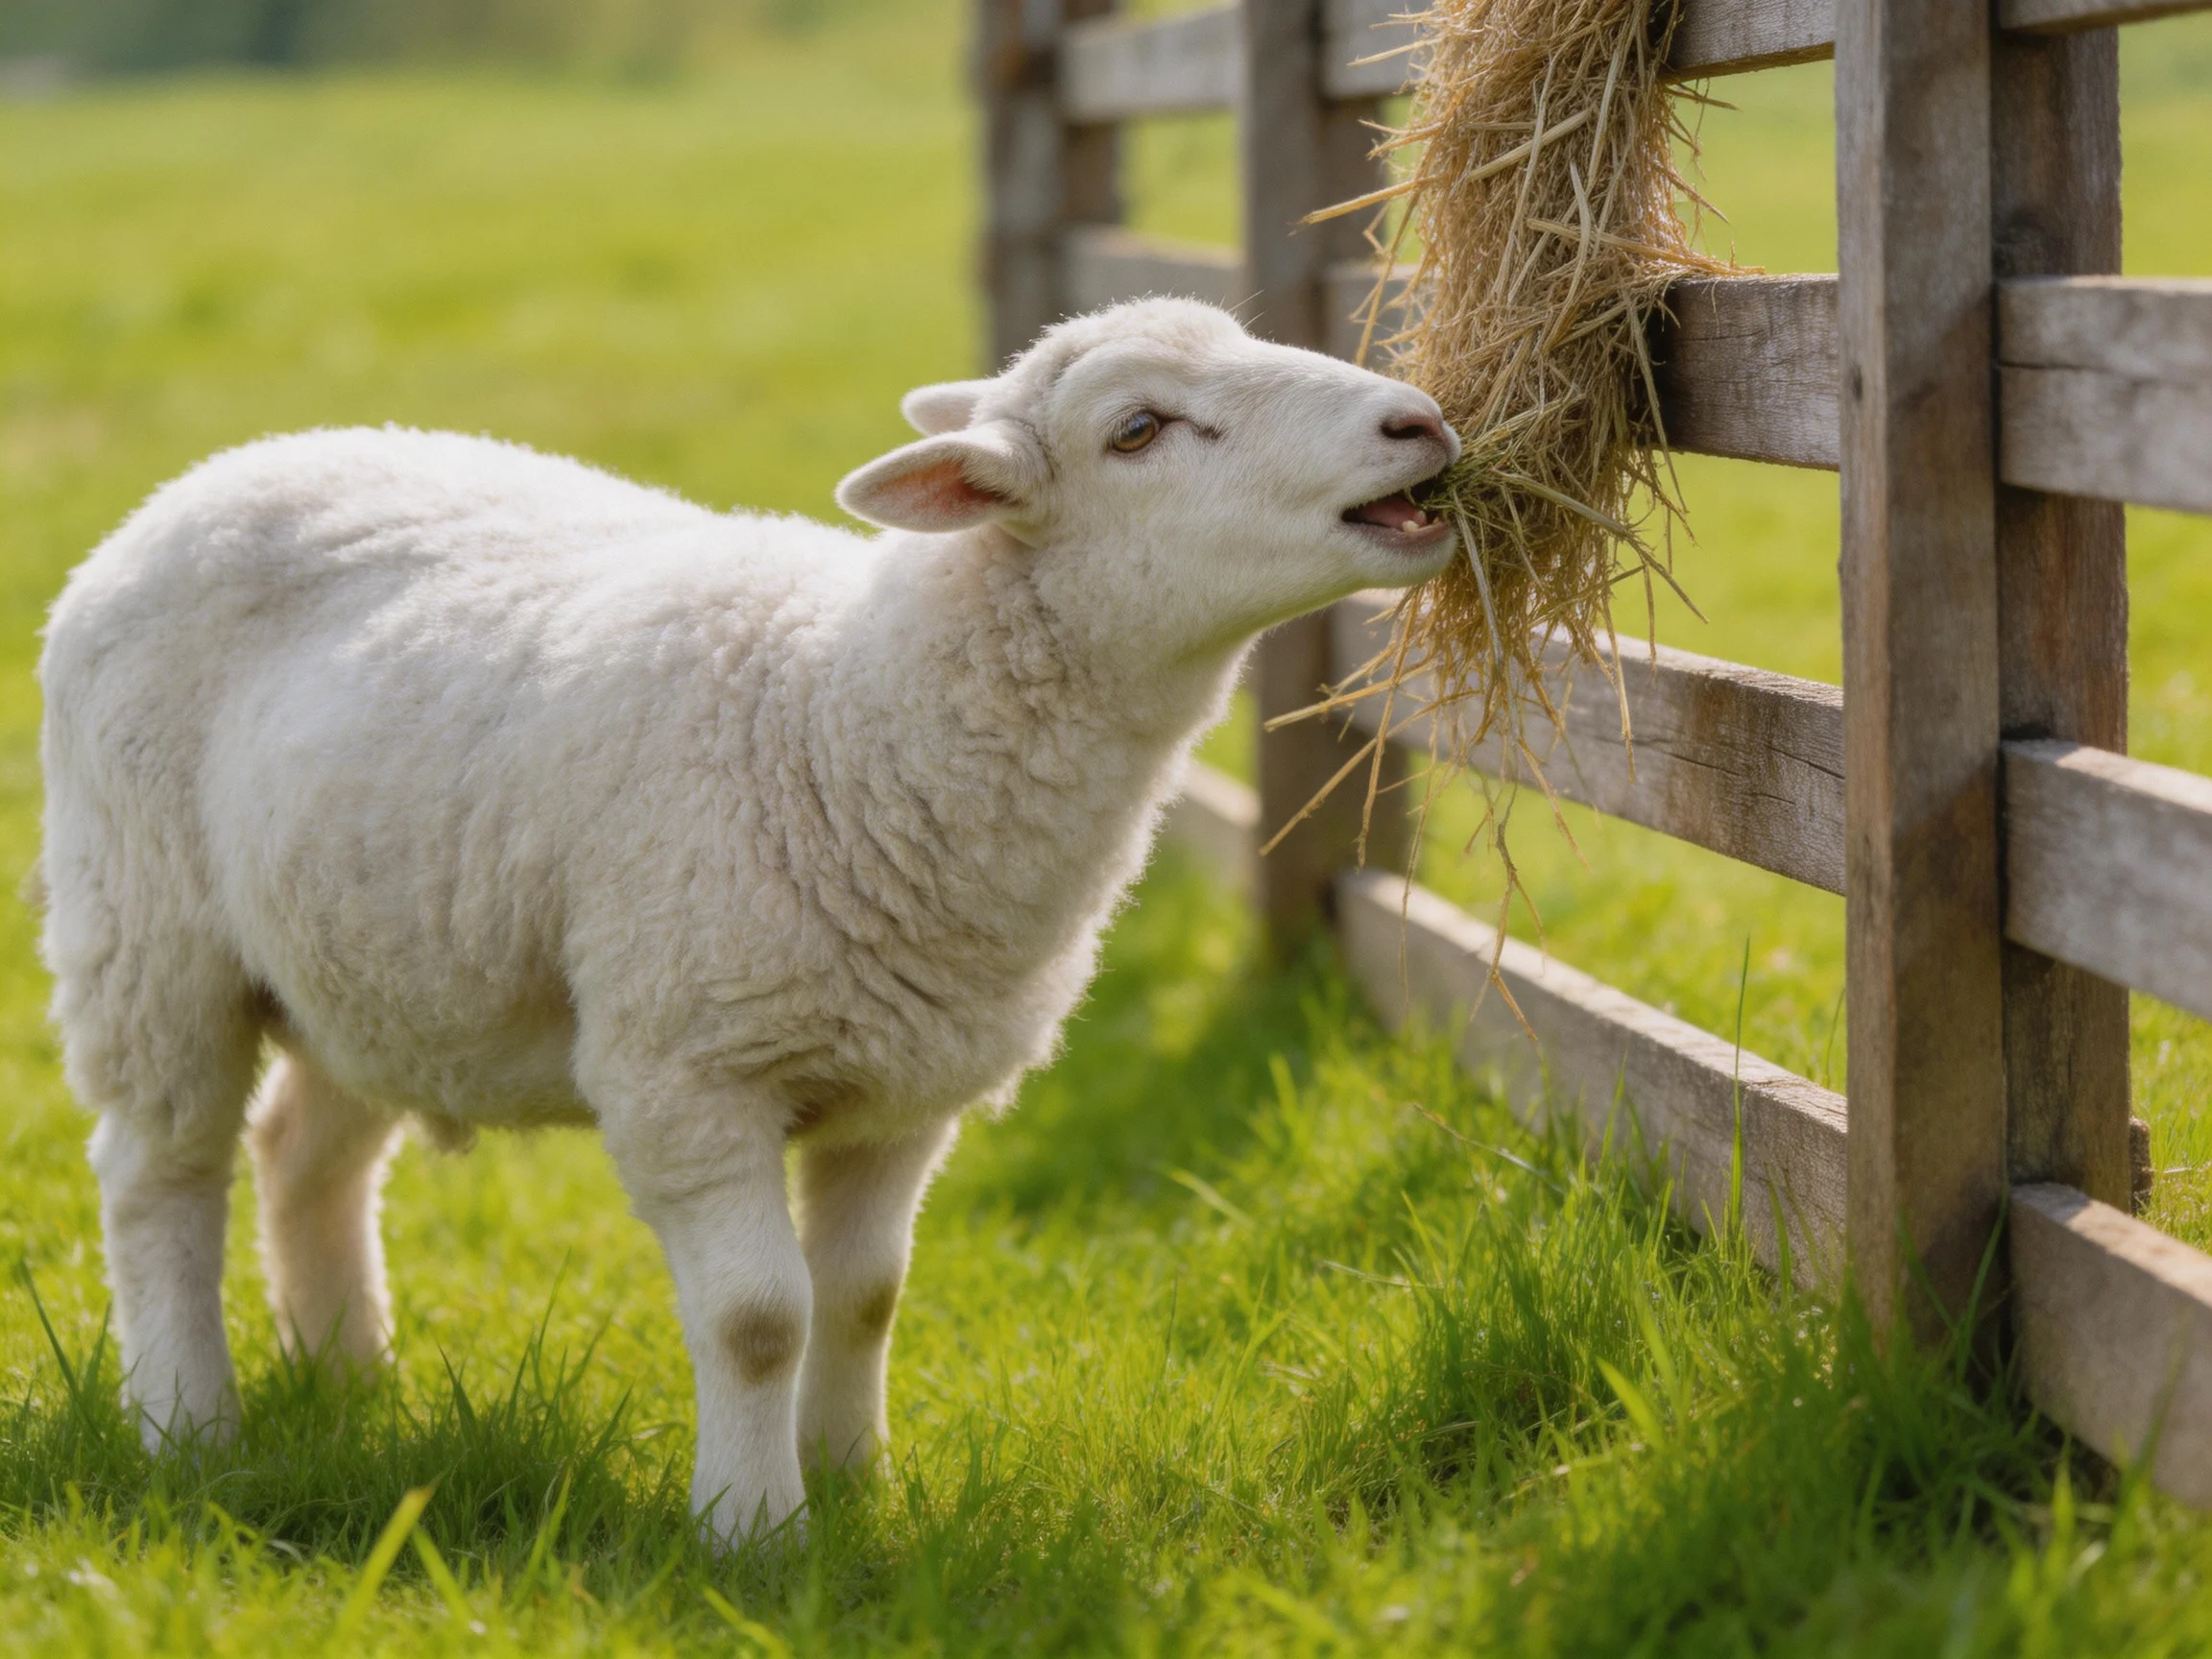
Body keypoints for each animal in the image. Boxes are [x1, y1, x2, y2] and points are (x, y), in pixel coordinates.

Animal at [36, 297, 1461, 1544]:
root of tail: (216, 474)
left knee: (305, 1157)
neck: (848, 715)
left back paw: (349, 1382)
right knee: (161, 1175)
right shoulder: (688, 1070)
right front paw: (754, 1534)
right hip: (146, 933)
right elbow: (762, 1318)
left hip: (379, 962)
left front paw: (856, 1488)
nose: (1419, 420)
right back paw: (186, 1424)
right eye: (1139, 429)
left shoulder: (904, 1089)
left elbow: (865, 1298)